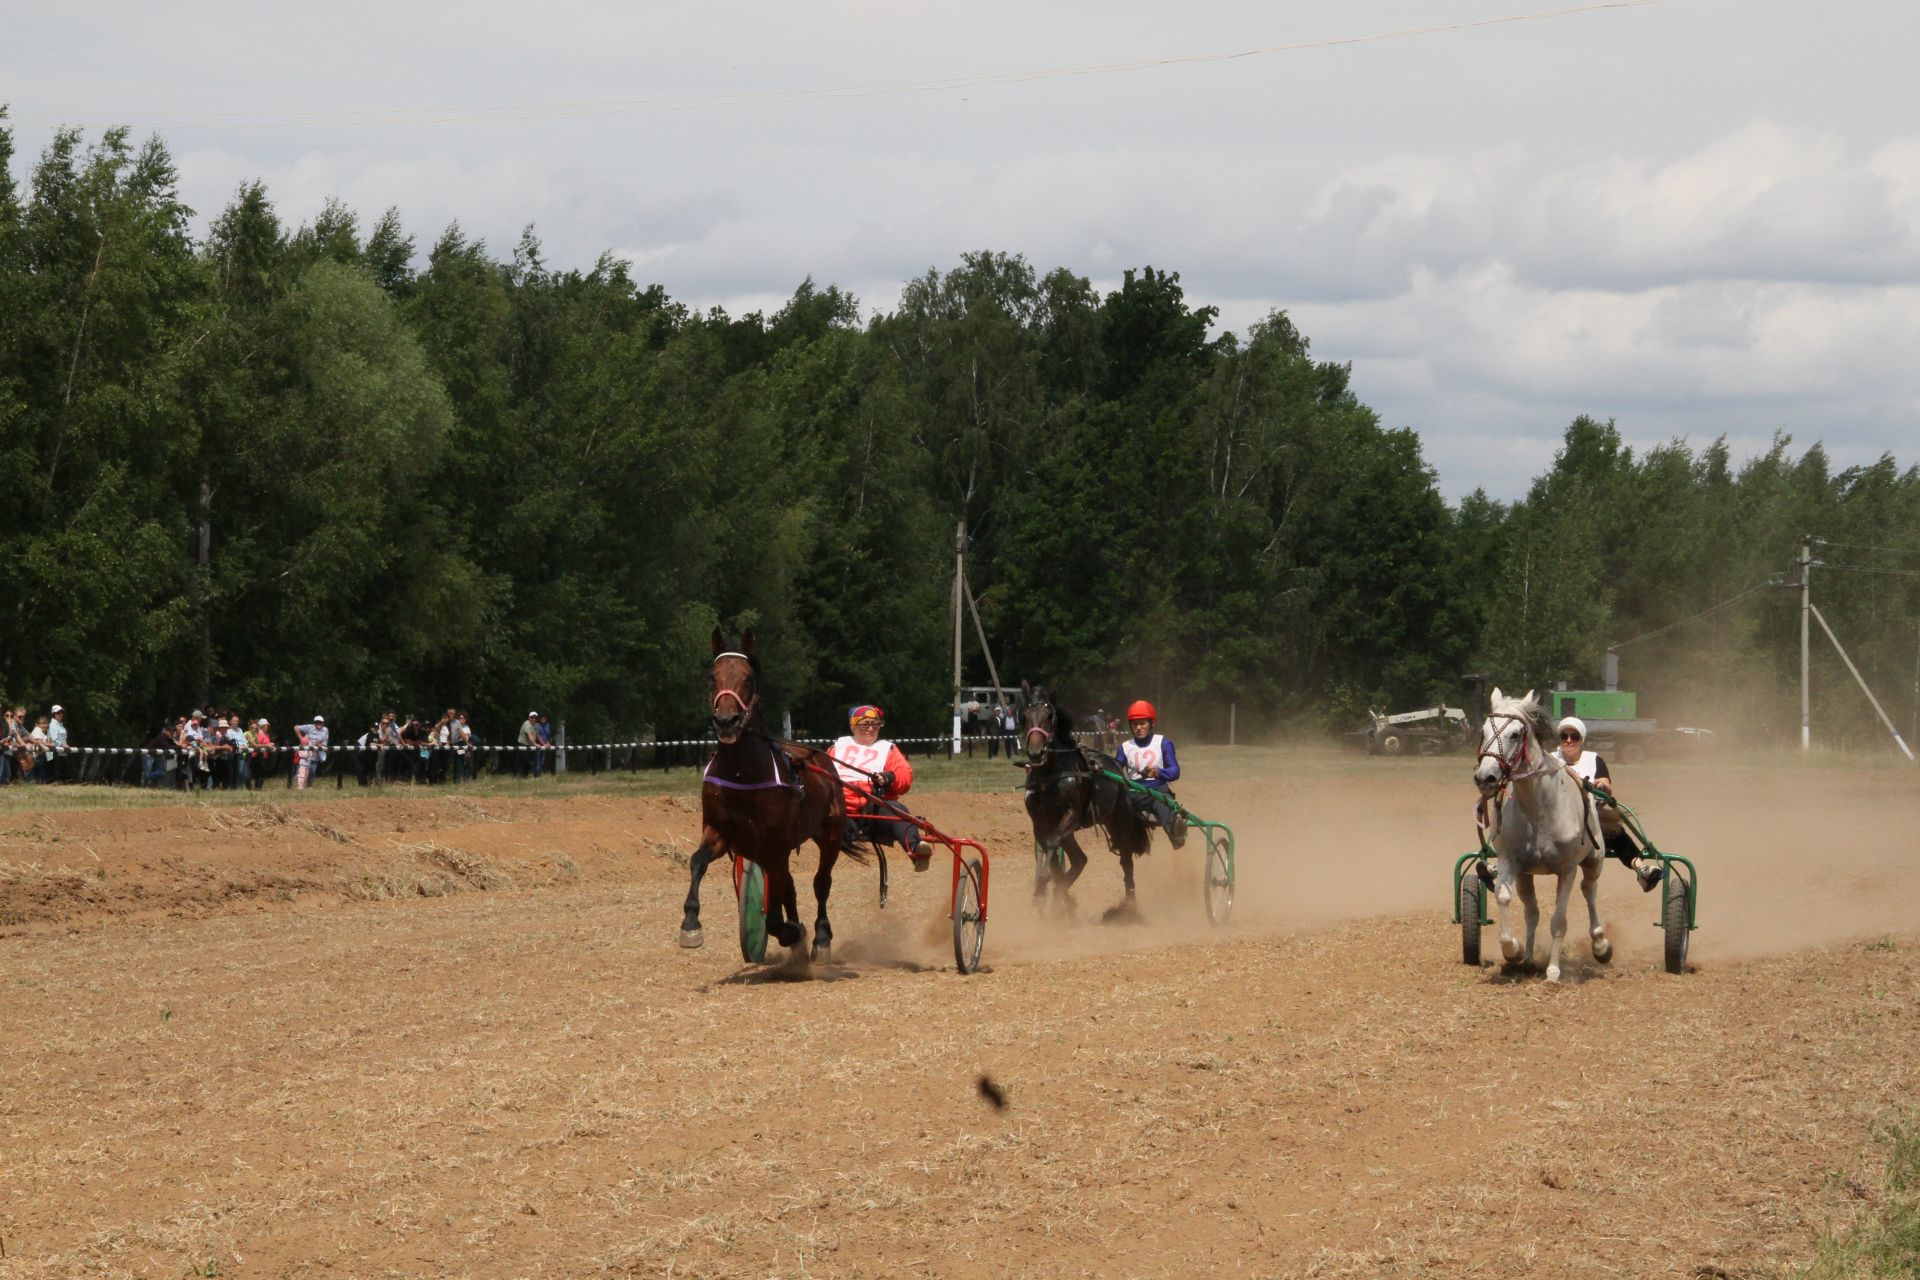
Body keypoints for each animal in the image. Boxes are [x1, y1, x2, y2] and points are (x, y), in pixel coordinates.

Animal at [683, 629, 848, 959]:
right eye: (711, 676)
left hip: (830, 834)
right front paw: (691, 922)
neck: (742, 774)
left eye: (748, 677)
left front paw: (788, 930)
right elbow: (697, 862)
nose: (726, 721)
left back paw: (820, 937)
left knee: (821, 882)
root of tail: (821, 757)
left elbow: (776, 908)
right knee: (790, 886)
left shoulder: (775, 845)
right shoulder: (720, 832)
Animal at [1021, 679, 1152, 909]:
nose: (1036, 753)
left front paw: (1043, 883)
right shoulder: (1039, 821)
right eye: (1026, 715)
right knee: (1080, 860)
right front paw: (1049, 891)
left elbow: (1051, 843)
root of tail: (1117, 768)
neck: (1049, 777)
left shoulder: (1072, 813)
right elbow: (1051, 853)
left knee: (1125, 860)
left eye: (1049, 716)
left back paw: (1129, 903)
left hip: (1118, 820)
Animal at [1466, 690, 1605, 982]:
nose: (1486, 777)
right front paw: (1514, 951)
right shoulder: (1511, 862)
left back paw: (1600, 944)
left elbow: (1559, 921)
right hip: (1526, 875)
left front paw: (1553, 971)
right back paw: (1528, 959)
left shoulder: (1567, 869)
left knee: (1589, 890)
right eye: (1483, 731)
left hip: (1594, 861)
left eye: (1515, 734)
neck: (1539, 810)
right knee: (1532, 912)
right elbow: (1504, 898)